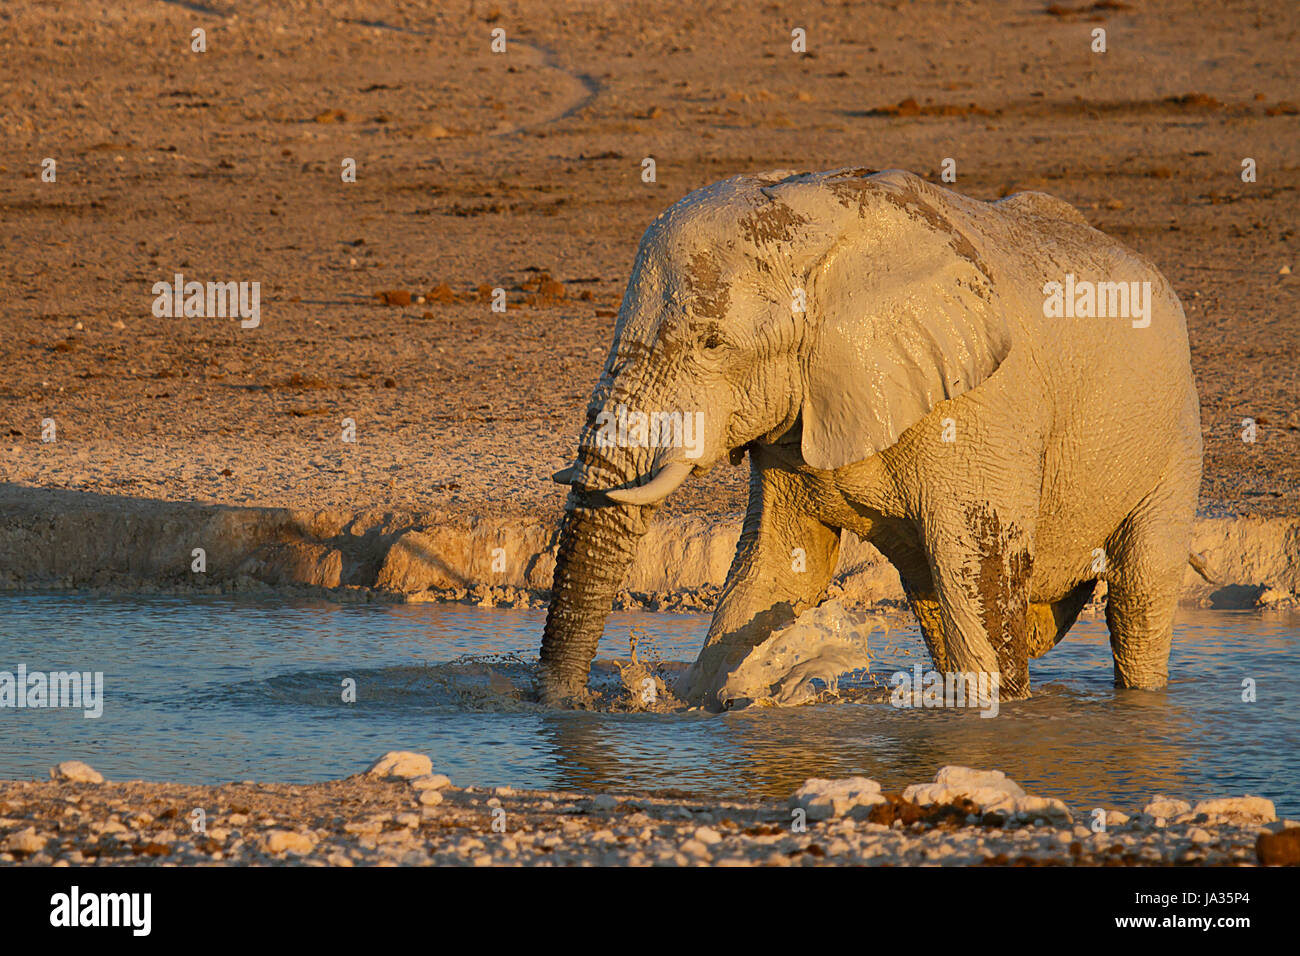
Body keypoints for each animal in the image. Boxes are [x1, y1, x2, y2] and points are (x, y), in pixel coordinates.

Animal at [535, 166, 1196, 712]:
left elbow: (980, 578)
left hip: (1175, 433)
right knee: (933, 599)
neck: (821, 232)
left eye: (712, 343)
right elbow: (774, 569)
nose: (566, 705)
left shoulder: (983, 411)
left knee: (1139, 593)